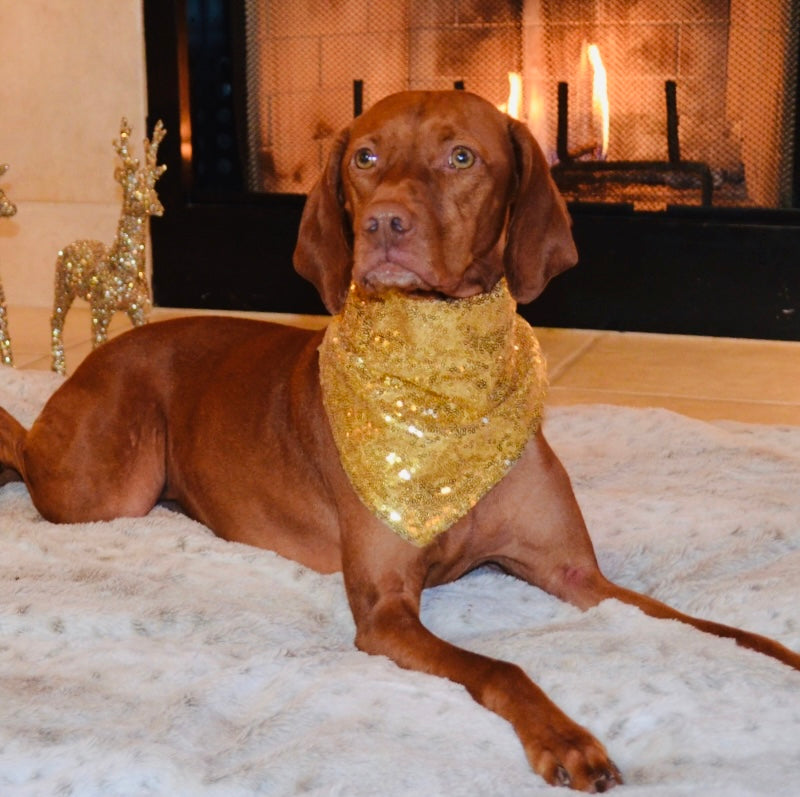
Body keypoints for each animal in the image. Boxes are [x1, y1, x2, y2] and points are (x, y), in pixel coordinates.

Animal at [1, 88, 800, 788]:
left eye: (460, 156)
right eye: (365, 157)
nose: (384, 224)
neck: (442, 394)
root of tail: (105, 348)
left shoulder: (578, 576)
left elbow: (701, 623)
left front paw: (772, 652)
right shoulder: (385, 611)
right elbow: (502, 668)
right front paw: (567, 739)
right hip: (107, 489)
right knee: (25, 450)